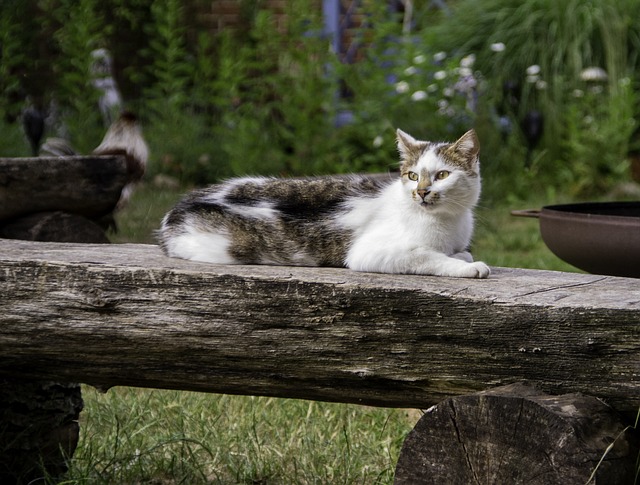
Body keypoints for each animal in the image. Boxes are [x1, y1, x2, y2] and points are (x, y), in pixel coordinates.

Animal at [159, 129, 490, 278]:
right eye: (412, 175)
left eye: (442, 175)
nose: (420, 192)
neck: (450, 220)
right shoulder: (370, 253)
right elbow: (427, 257)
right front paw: (467, 266)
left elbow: (460, 250)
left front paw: (462, 255)